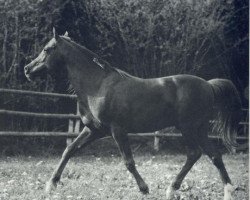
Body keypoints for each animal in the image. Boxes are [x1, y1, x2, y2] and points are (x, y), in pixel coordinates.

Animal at [24, 28, 243, 200]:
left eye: (47, 49)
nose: (27, 69)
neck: (98, 85)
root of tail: (208, 85)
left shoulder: (118, 130)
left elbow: (128, 162)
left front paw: (144, 189)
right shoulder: (94, 130)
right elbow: (69, 150)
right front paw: (50, 185)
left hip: (189, 127)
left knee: (196, 153)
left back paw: (173, 189)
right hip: (198, 128)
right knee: (212, 155)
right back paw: (223, 191)